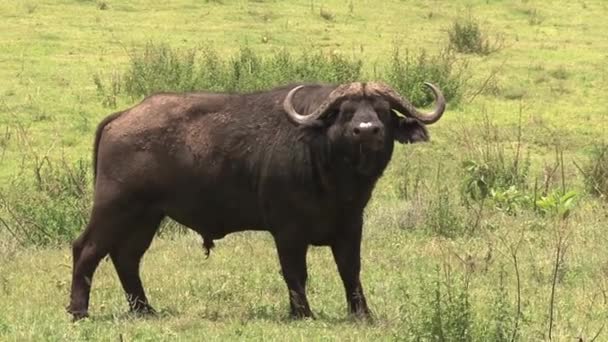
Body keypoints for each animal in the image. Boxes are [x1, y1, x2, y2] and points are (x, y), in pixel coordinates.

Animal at [67, 81, 446, 320]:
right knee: (87, 249)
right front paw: (302, 313)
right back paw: (79, 311)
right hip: (114, 207)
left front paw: (362, 313)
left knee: (126, 256)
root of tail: (122, 116)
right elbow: (295, 271)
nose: (366, 130)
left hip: (147, 215)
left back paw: (144, 309)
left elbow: (350, 270)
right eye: (346, 111)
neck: (331, 173)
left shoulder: (351, 225)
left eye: (382, 110)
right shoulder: (288, 231)